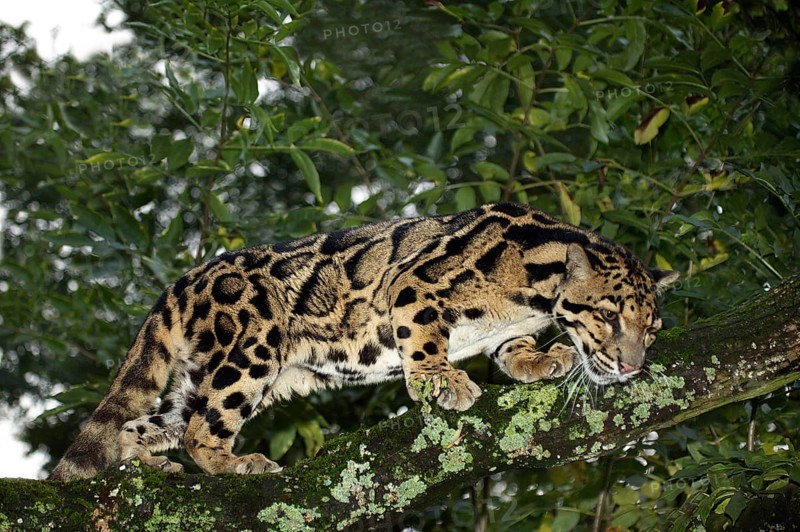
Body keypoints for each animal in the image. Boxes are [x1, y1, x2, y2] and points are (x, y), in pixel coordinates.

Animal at [49, 202, 678, 481]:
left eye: (650, 331)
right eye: (608, 317)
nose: (630, 367)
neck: (535, 282)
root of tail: (184, 281)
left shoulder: (506, 326)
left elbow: (512, 348)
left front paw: (541, 359)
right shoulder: (415, 284)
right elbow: (422, 336)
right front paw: (438, 380)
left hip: (202, 376)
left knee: (146, 423)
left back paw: (145, 461)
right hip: (251, 349)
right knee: (202, 430)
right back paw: (235, 463)